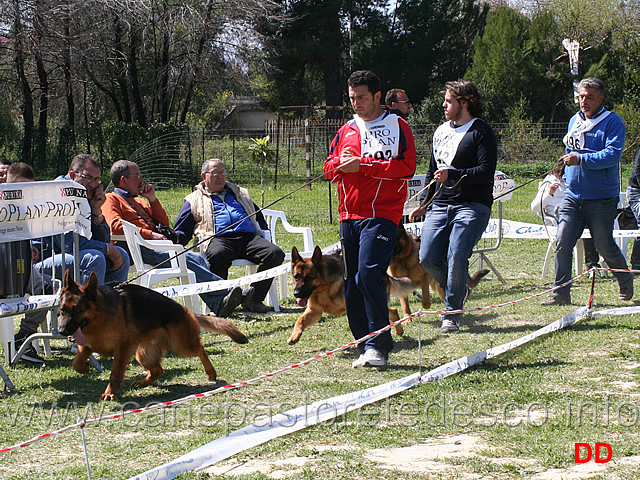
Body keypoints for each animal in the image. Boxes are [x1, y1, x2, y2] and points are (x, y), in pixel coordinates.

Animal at [58, 270, 248, 402]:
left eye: (77, 310)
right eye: (62, 310)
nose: (61, 331)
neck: (100, 316)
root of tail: (185, 310)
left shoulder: (122, 350)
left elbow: (115, 374)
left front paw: (109, 393)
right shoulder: (86, 346)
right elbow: (75, 362)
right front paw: (84, 368)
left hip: (181, 345)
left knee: (200, 349)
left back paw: (210, 372)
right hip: (143, 355)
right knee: (158, 370)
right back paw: (143, 382)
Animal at [288, 248, 416, 344]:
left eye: (309, 278)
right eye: (296, 277)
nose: (296, 294)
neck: (324, 287)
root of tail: (383, 273)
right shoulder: (314, 311)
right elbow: (300, 320)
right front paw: (294, 336)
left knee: (389, 312)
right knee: (393, 312)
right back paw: (399, 331)